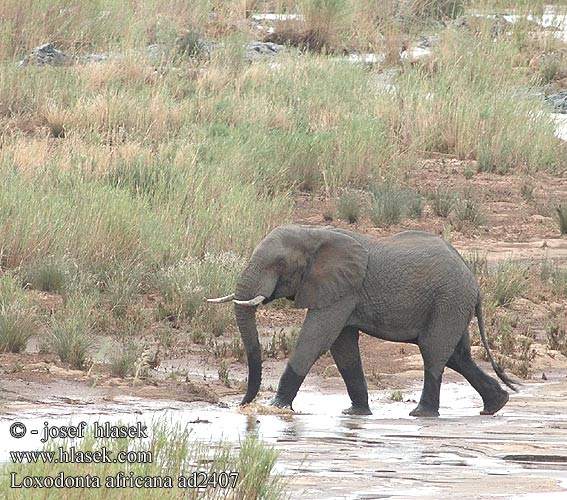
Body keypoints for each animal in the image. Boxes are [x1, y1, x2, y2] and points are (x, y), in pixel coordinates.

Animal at [210, 225, 520, 416]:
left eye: (280, 264)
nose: (242, 405)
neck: (312, 232)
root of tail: (476, 285)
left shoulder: (342, 290)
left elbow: (314, 340)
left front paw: (276, 408)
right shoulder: (341, 292)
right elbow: (343, 348)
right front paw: (355, 413)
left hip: (449, 300)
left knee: (434, 351)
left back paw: (421, 414)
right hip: (452, 305)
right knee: (457, 355)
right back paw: (496, 405)